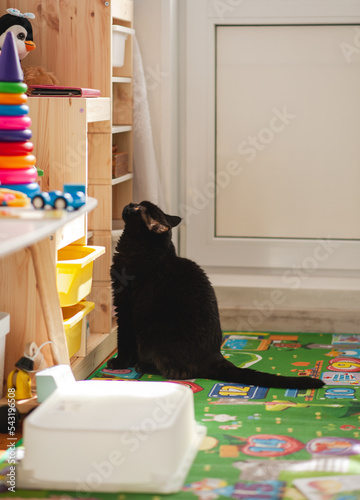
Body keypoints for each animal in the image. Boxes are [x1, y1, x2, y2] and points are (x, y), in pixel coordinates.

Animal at [109, 200, 324, 390]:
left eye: (138, 208)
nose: (129, 203)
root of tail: (214, 356)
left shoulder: (125, 308)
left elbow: (124, 340)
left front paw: (118, 363)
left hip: (151, 336)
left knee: (175, 371)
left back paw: (143, 365)